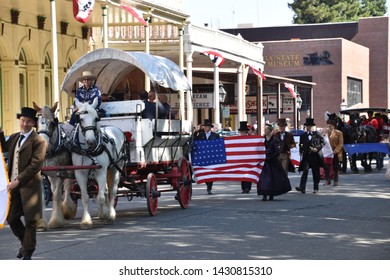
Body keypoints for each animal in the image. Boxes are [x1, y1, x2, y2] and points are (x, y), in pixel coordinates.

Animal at [33, 101, 77, 229]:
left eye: (52, 123)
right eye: (37, 122)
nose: (42, 145)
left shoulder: (60, 172)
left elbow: (57, 194)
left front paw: (56, 220)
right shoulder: (43, 174)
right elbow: (43, 196)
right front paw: (40, 222)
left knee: (67, 187)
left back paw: (67, 209)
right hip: (52, 174)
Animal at [69, 97, 125, 229]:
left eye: (96, 118)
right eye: (81, 119)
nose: (91, 142)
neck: (88, 151)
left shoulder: (101, 171)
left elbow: (100, 197)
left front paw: (104, 214)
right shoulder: (80, 173)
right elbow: (85, 197)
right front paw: (86, 221)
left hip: (116, 168)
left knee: (112, 190)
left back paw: (111, 214)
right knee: (105, 191)